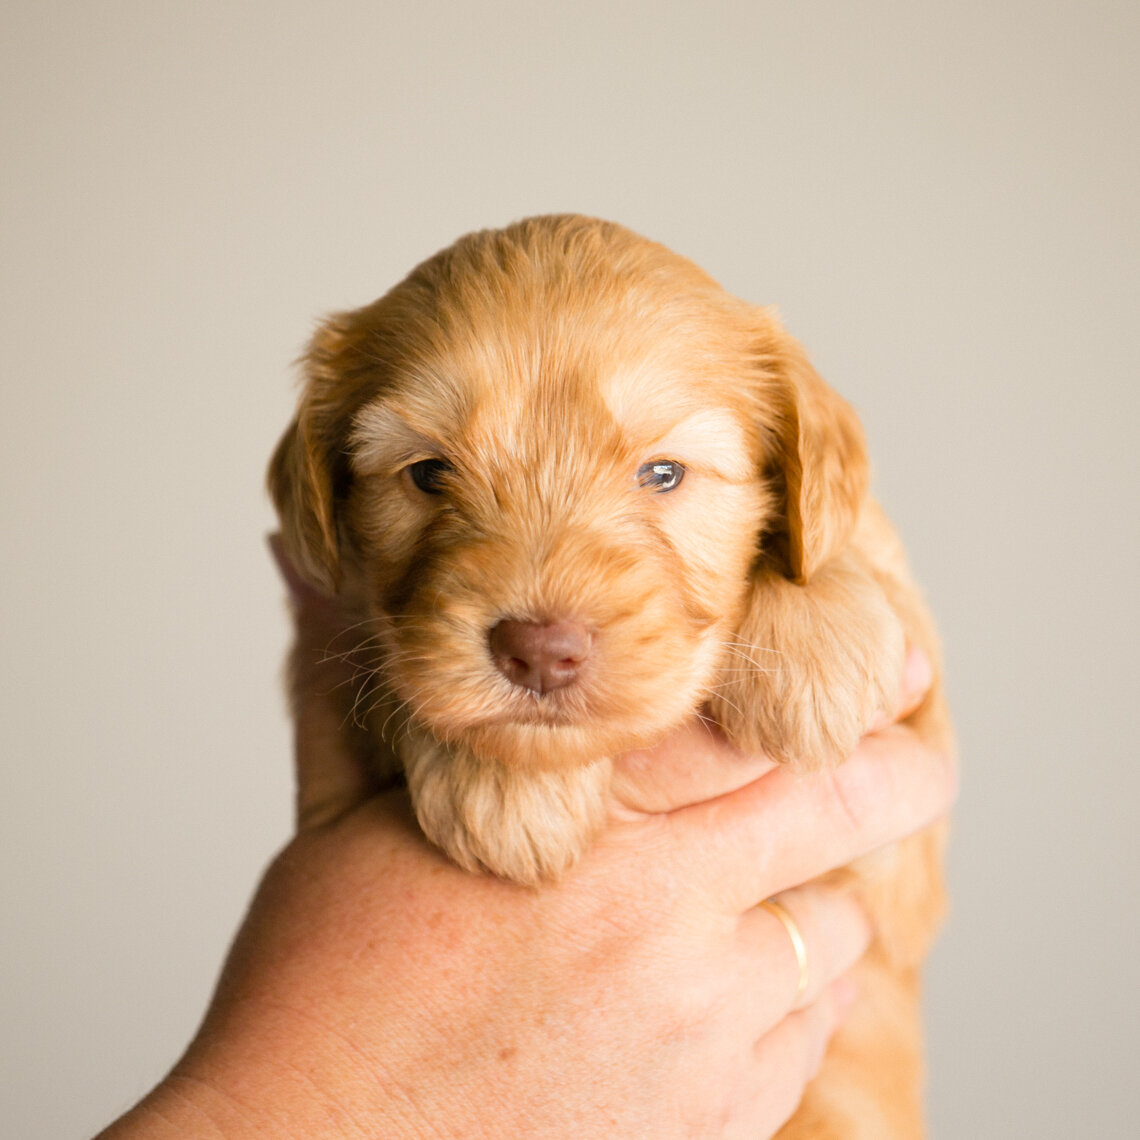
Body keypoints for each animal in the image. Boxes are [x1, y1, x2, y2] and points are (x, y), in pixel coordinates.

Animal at [271, 215, 948, 1140]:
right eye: (429, 473)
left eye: (663, 473)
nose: (538, 649)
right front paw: (507, 791)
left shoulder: (909, 850)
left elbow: (842, 563)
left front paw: (816, 652)